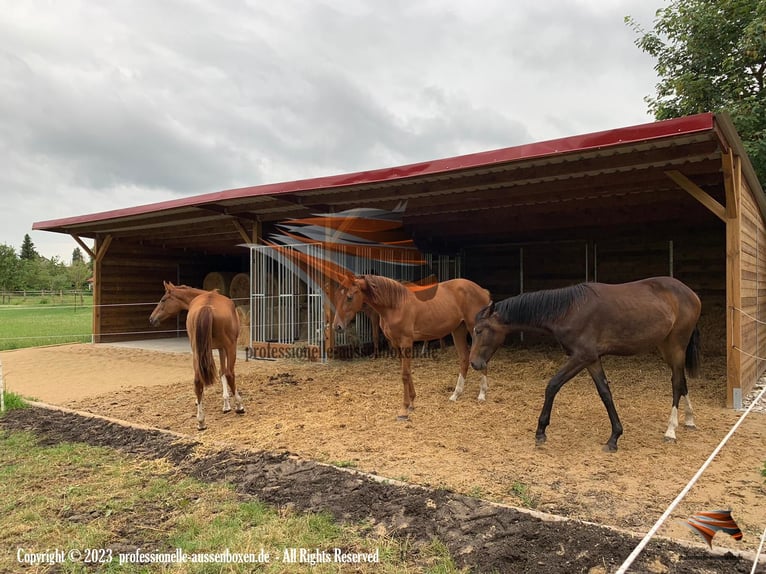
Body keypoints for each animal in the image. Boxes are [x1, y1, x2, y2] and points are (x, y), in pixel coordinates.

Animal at [148, 282, 244, 430]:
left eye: (163, 300)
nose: (152, 319)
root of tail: (207, 306)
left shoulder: (214, 349)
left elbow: (216, 373)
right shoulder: (223, 348)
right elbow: (223, 372)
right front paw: (227, 404)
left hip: (197, 351)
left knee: (198, 380)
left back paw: (201, 421)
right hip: (230, 347)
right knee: (229, 374)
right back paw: (239, 406)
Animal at [334, 272, 492, 420]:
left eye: (349, 297)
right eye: (337, 296)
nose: (337, 326)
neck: (395, 305)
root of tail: (483, 291)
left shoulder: (406, 342)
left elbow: (404, 374)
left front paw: (404, 408)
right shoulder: (396, 344)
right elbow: (407, 372)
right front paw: (412, 402)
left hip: (474, 329)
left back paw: (482, 394)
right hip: (458, 329)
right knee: (464, 358)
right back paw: (456, 394)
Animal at [468, 276, 704, 452]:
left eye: (479, 331)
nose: (474, 363)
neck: (569, 310)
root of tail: (691, 293)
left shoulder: (581, 356)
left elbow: (552, 385)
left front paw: (541, 432)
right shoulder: (591, 359)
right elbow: (605, 393)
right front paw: (614, 437)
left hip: (676, 346)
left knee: (676, 383)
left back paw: (671, 430)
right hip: (667, 347)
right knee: (681, 381)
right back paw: (689, 420)